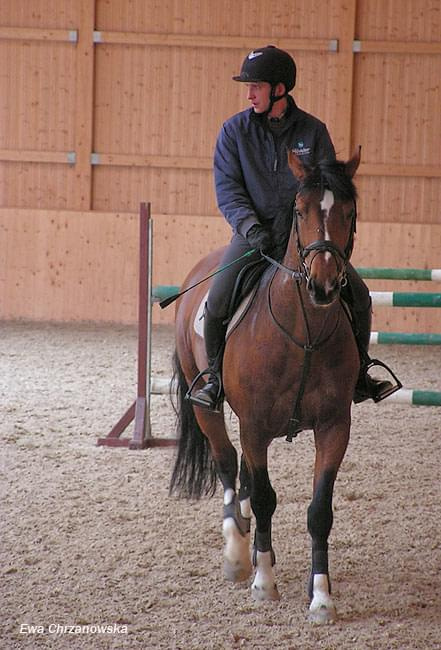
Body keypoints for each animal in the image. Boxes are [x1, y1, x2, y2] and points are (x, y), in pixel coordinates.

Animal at [169, 148, 360, 624]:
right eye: (300, 210)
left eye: (349, 211)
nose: (323, 285)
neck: (303, 331)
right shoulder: (254, 426)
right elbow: (264, 498)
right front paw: (263, 582)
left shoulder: (334, 426)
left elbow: (318, 510)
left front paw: (321, 596)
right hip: (208, 408)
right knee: (227, 464)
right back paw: (239, 554)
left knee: (243, 474)